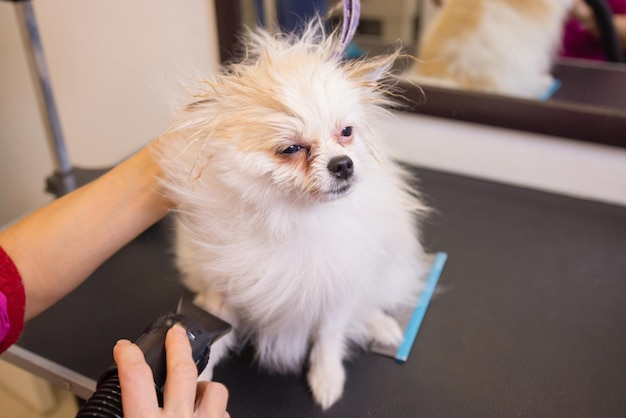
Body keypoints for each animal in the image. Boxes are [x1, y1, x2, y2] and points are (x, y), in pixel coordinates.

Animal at [154, 19, 426, 408]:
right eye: (291, 149)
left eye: (346, 132)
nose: (343, 164)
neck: (294, 215)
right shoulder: (224, 290)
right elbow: (213, 329)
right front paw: (196, 374)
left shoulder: (338, 287)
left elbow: (329, 337)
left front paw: (326, 377)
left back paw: (381, 324)